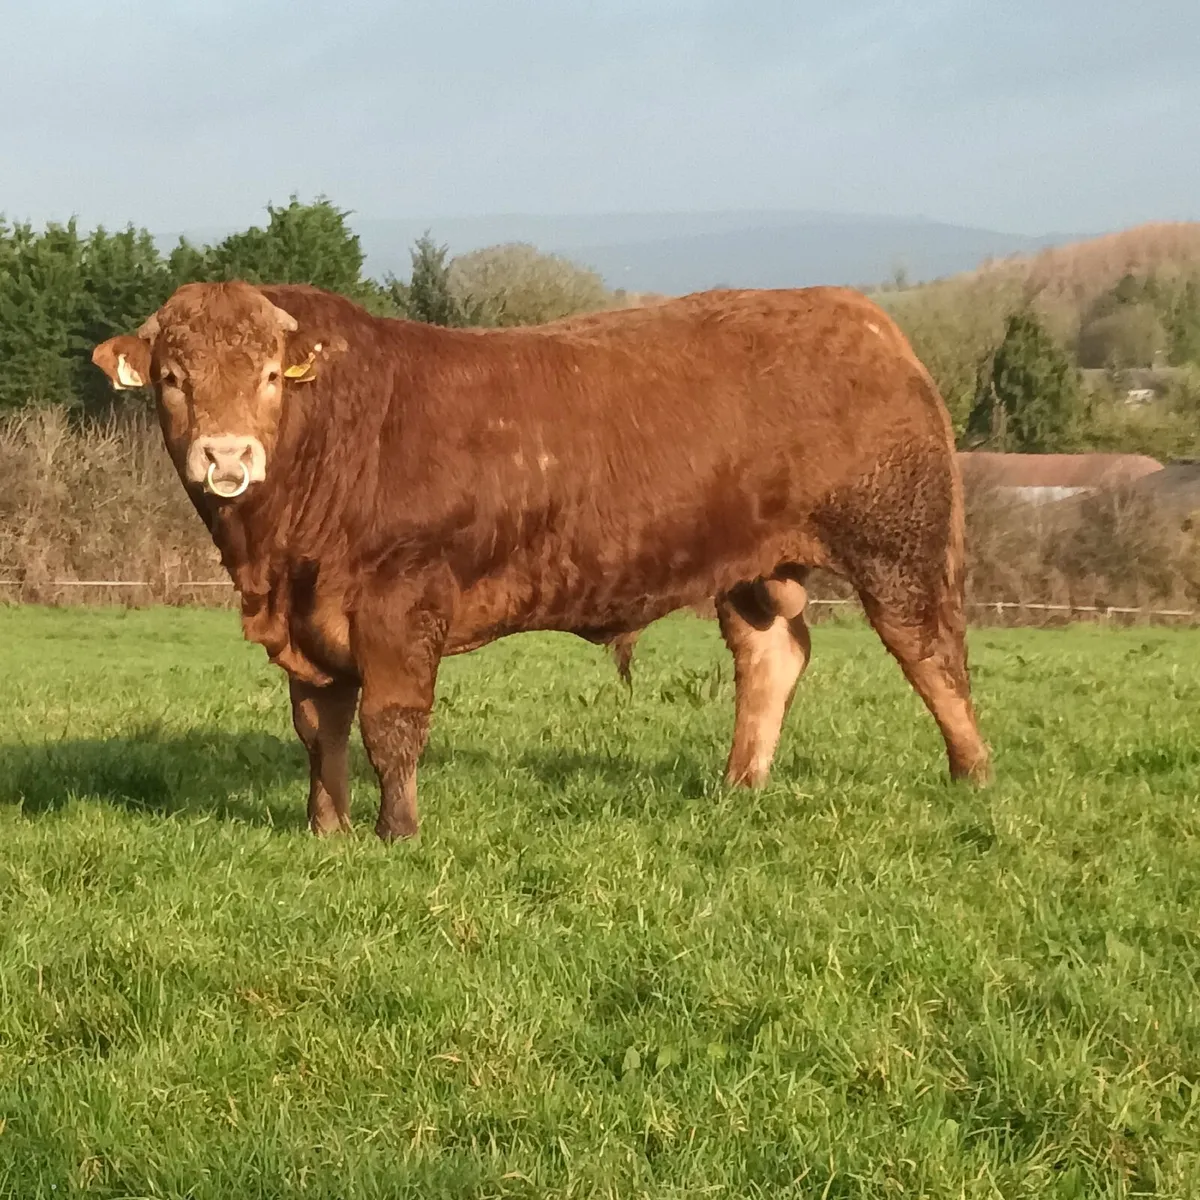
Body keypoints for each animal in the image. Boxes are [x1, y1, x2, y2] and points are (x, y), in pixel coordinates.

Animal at [92, 280, 990, 841]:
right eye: (172, 379)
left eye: (273, 376)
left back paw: (972, 776)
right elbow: (320, 729)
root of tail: (863, 318)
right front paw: (327, 828)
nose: (227, 456)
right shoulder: (310, 622)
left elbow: (392, 724)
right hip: (752, 569)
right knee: (773, 654)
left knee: (933, 653)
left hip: (898, 542)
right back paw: (741, 783)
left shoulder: (401, 598)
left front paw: (396, 831)